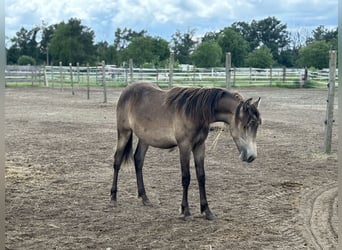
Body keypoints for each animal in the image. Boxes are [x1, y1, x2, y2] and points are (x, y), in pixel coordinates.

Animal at [110, 82, 262, 221]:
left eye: (257, 125)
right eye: (247, 124)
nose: (251, 156)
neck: (196, 113)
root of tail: (127, 90)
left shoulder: (199, 146)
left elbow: (201, 176)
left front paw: (206, 210)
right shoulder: (184, 146)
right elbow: (186, 177)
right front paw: (186, 211)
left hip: (144, 139)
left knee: (138, 160)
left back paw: (144, 197)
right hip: (124, 132)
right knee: (117, 161)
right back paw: (113, 198)